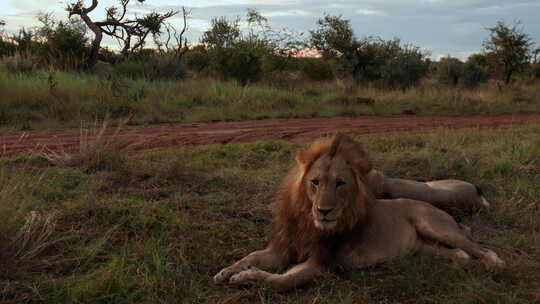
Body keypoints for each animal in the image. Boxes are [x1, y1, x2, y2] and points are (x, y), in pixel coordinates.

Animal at [213, 134, 504, 290]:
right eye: (315, 182)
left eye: (340, 183)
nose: (324, 211)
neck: (308, 221)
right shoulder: (281, 250)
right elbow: (250, 256)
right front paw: (227, 271)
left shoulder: (322, 264)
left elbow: (279, 281)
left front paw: (245, 276)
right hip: (424, 246)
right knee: (461, 255)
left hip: (434, 225)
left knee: (484, 250)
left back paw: (494, 266)